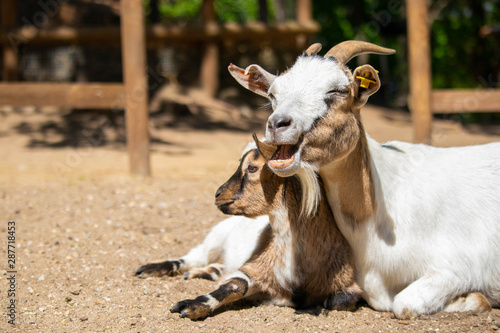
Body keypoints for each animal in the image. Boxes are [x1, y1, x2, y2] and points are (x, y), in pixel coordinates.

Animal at [170, 135, 362, 320]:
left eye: (252, 168)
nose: (218, 194)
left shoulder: (347, 282)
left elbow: (342, 300)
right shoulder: (256, 267)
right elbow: (235, 285)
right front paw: (192, 306)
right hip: (216, 237)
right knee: (195, 257)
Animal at [229, 40, 498, 318]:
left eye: (338, 90)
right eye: (273, 94)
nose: (277, 124)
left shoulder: (458, 267)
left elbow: (403, 304)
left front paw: (472, 299)